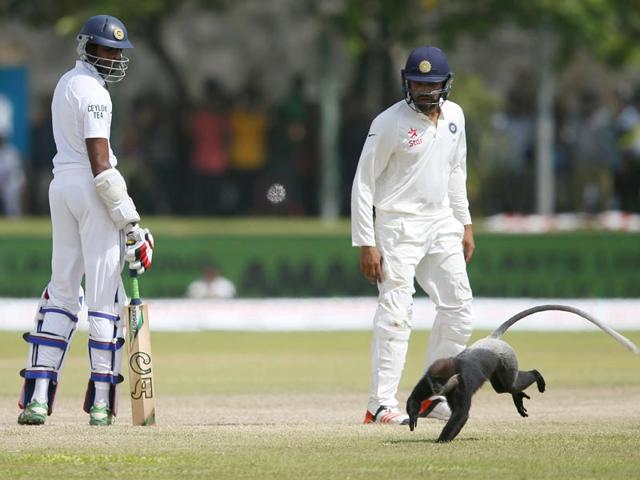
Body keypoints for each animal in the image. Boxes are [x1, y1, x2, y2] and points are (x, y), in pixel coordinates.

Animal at [406, 304, 640, 443]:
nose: (436, 388)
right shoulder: (426, 378)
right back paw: (518, 397)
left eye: (440, 382)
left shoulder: (463, 384)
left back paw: (537, 377)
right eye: (434, 382)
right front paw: (413, 415)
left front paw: (440, 440)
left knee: (508, 385)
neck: (453, 378)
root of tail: (492, 340)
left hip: (507, 362)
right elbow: (416, 396)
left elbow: (461, 414)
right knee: (505, 388)